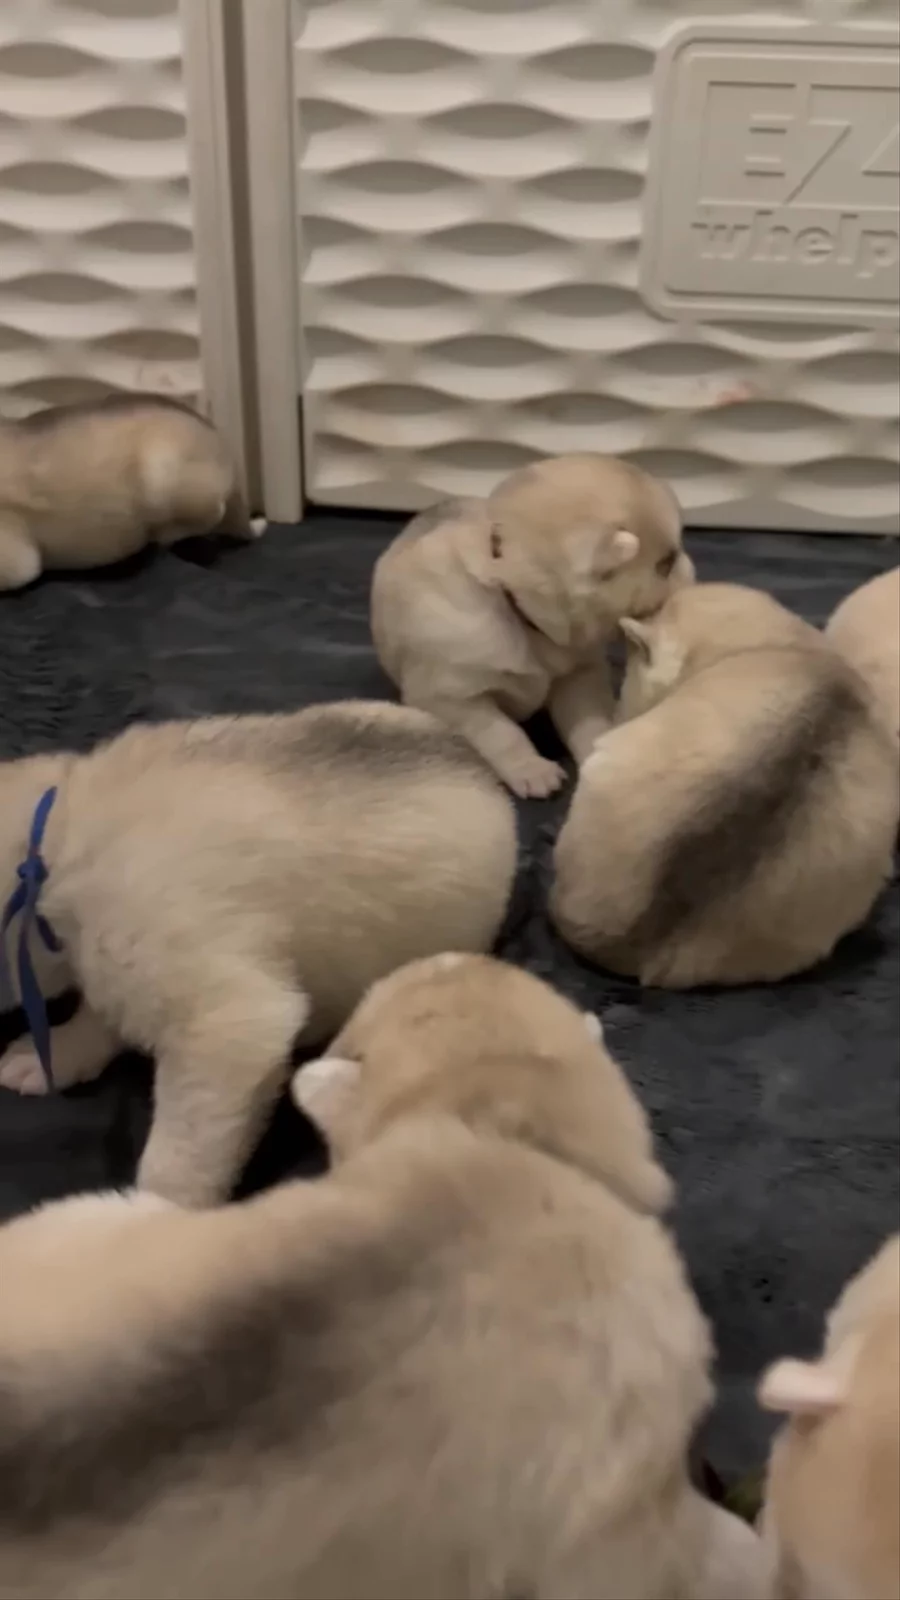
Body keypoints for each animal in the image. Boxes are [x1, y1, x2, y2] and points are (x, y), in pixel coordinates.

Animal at [0, 703, 516, 1205]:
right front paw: (54, 1055)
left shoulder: (227, 1023)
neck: (48, 851)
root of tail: (485, 772)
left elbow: (179, 1156)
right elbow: (98, 1017)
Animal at [371, 454, 694, 797]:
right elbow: (502, 733)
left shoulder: (578, 676)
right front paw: (531, 769)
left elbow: (588, 719)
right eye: (666, 563)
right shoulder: (452, 699)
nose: (695, 576)